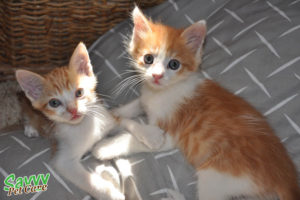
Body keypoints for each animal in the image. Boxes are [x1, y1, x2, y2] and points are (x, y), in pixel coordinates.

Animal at [14, 42, 125, 200]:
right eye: (54, 103)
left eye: (79, 92)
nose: (73, 110)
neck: (84, 125)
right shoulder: (64, 160)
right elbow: (88, 180)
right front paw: (112, 194)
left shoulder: (108, 120)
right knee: (25, 115)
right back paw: (30, 128)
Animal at [92, 7, 298, 199]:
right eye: (148, 59)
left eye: (174, 64)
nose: (157, 76)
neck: (162, 92)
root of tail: (286, 177)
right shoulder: (145, 99)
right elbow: (130, 110)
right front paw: (112, 117)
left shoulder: (171, 135)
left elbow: (134, 137)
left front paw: (104, 147)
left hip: (215, 173)